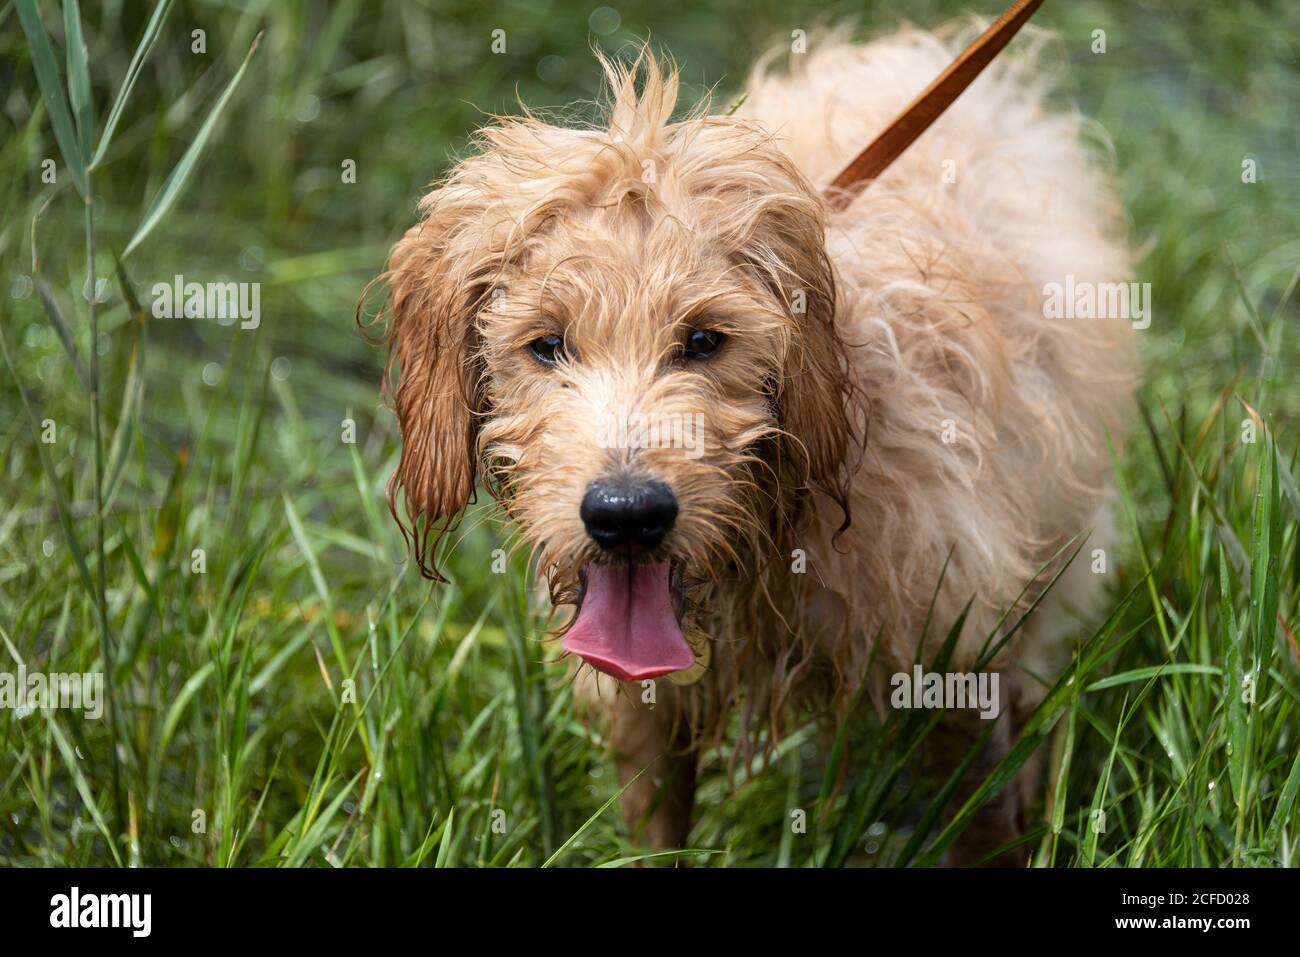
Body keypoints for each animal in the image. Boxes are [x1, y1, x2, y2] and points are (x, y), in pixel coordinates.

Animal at [366, 22, 1138, 863]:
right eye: (547, 344)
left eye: (706, 339)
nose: (627, 514)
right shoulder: (646, 709)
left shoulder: (956, 649)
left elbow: (986, 814)